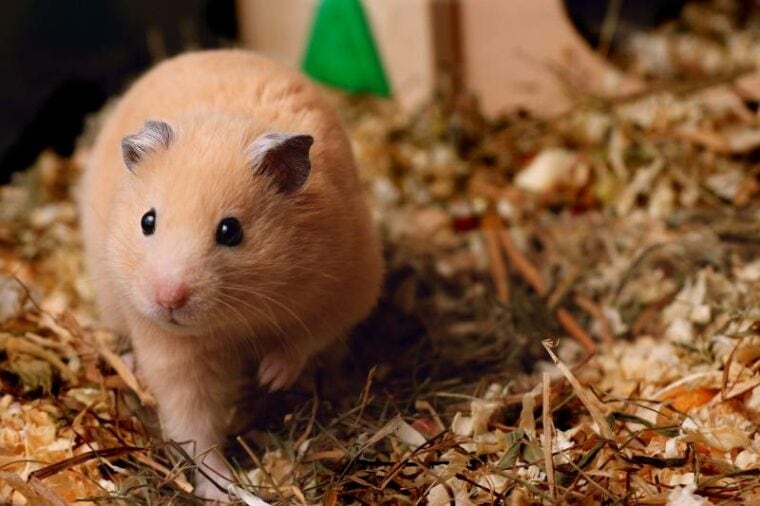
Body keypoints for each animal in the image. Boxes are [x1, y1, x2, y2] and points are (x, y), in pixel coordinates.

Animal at [79, 49, 383, 500]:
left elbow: (306, 337)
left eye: (230, 231)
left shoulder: (347, 285)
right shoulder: (175, 353)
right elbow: (194, 427)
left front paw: (270, 378)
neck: (235, 320)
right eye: (147, 221)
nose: (167, 299)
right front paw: (222, 491)